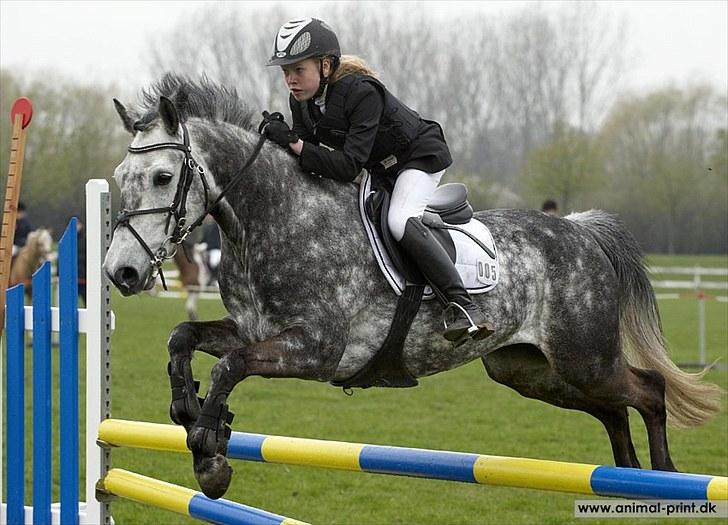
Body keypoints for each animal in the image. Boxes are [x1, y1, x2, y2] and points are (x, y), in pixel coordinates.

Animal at [103, 75, 722, 500]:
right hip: (531, 370)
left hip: (582, 357)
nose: (121, 273)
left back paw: (666, 477)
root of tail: (579, 229)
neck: (273, 217)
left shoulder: (316, 351)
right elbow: (182, 336)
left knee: (648, 391)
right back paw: (628, 479)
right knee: (614, 409)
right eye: (118, 180)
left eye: (163, 177)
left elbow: (230, 368)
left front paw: (210, 453)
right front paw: (188, 411)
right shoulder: (253, 331)